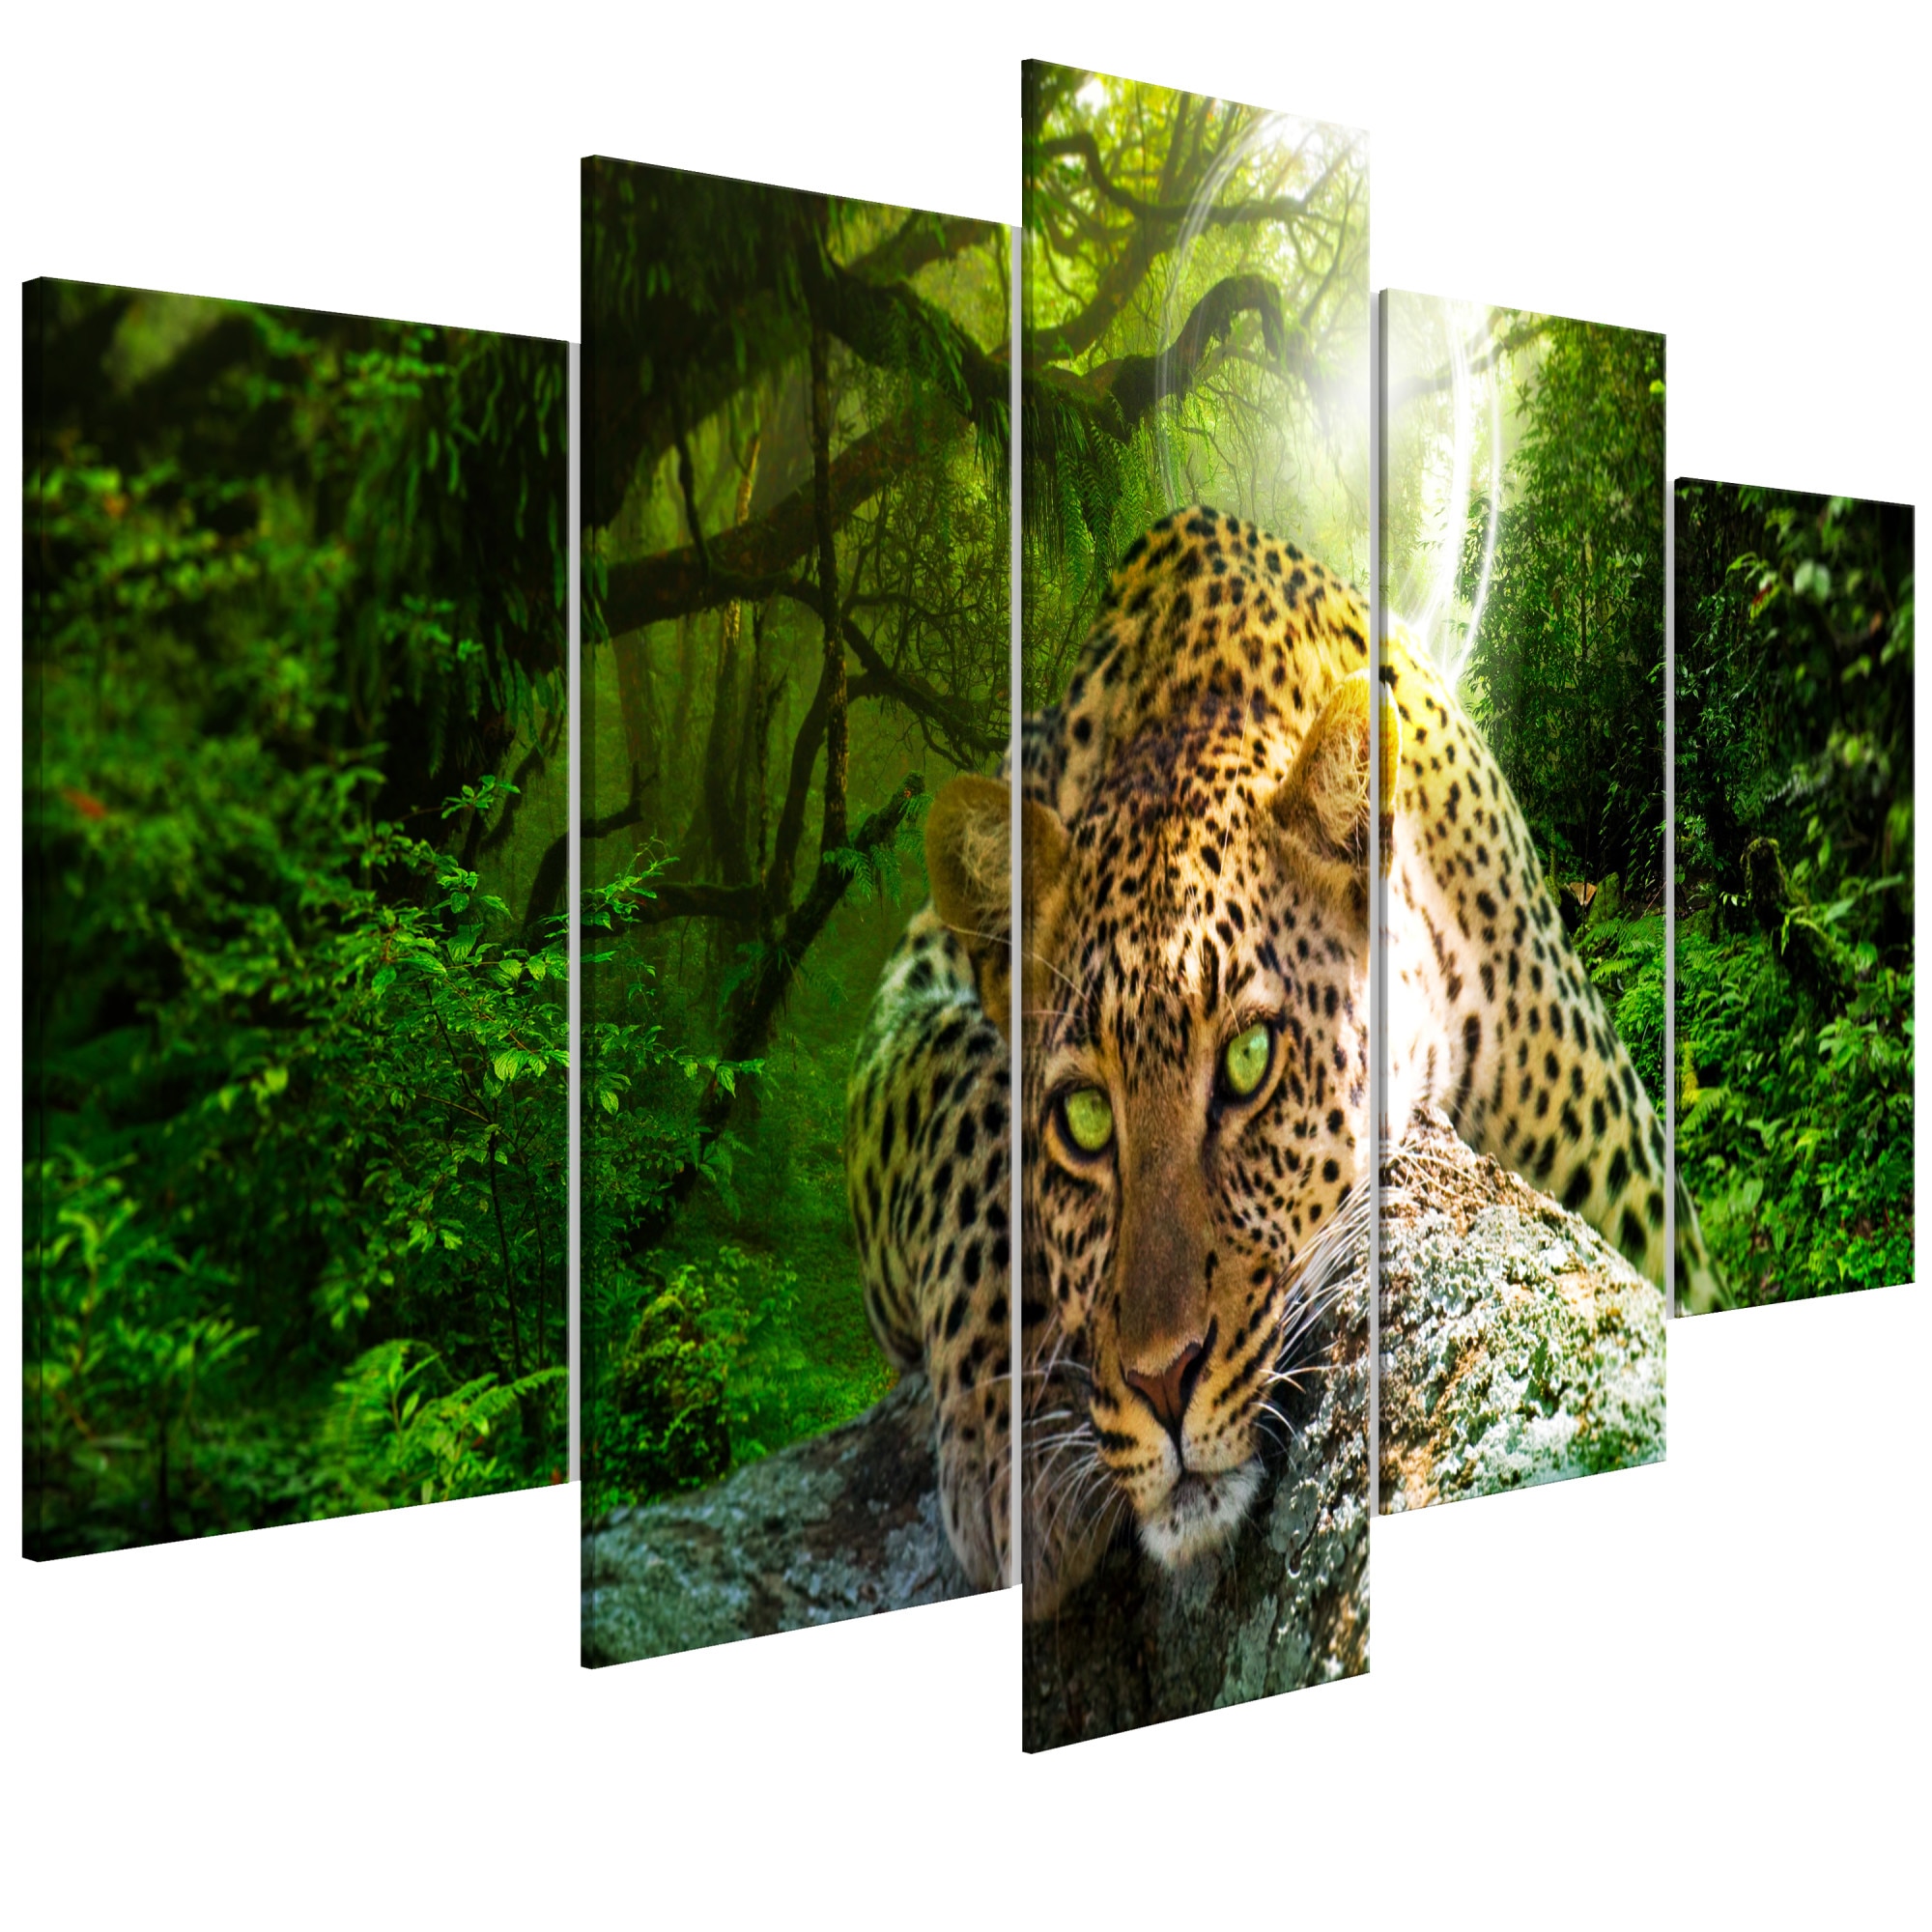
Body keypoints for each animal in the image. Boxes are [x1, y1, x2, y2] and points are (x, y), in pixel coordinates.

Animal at [846, 504, 1704, 1613]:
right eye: (1082, 1117)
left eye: (1250, 1058)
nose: (1160, 1379)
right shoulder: (908, 997)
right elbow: (963, 1097)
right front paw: (1017, 1446)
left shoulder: (1630, 1183)